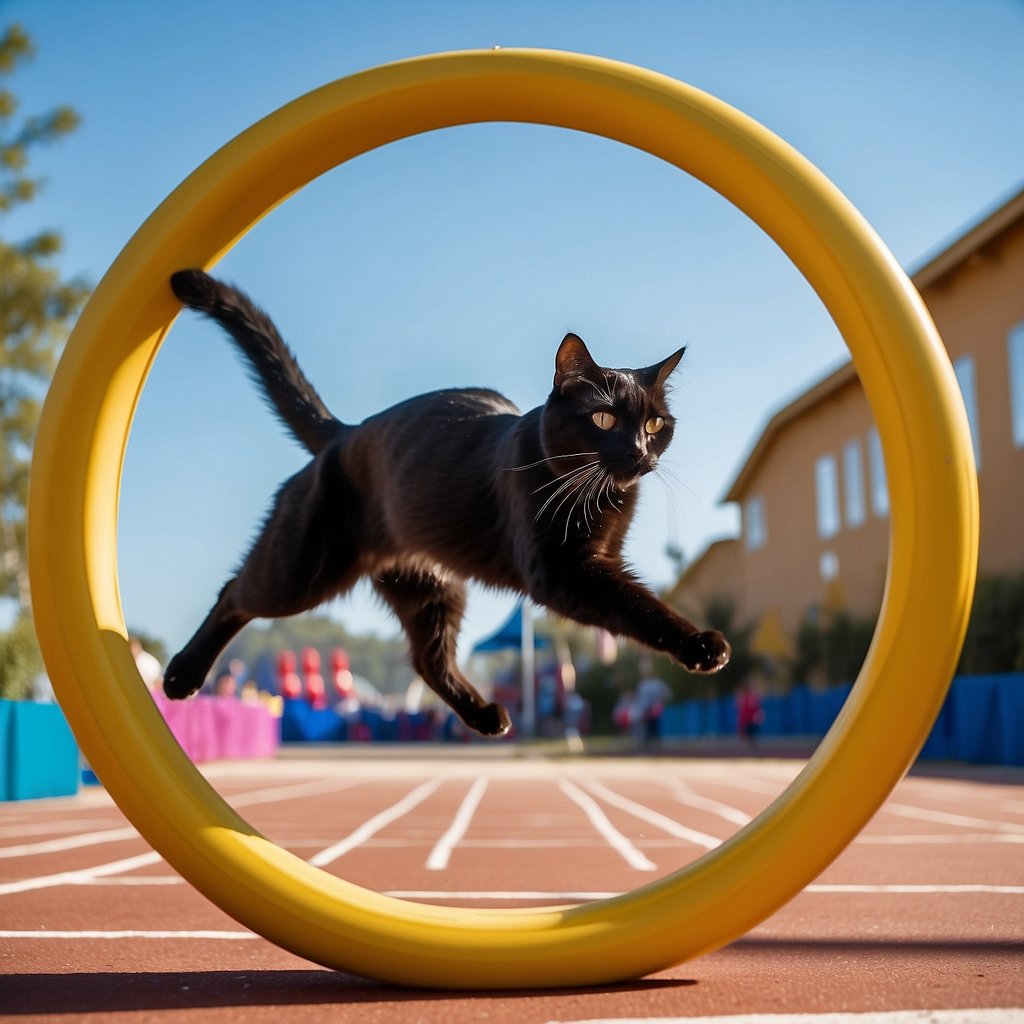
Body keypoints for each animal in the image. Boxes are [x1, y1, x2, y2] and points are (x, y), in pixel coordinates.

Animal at [163, 270, 733, 737]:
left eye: (656, 424)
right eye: (604, 419)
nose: (639, 453)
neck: (603, 495)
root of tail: (342, 433)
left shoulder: (601, 556)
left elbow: (636, 599)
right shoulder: (562, 569)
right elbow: (638, 605)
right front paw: (701, 645)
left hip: (429, 589)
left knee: (427, 660)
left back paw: (486, 716)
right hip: (301, 571)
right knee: (235, 592)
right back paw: (180, 676)